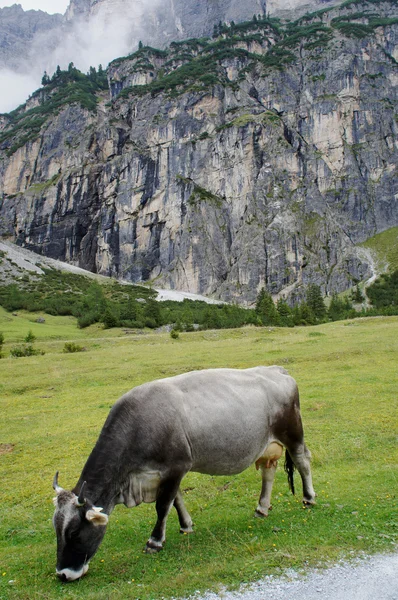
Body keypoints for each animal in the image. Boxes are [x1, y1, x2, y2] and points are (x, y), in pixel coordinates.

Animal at [52, 366, 316, 580]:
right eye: (55, 530)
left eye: (74, 532)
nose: (63, 574)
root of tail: (276, 369)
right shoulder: (165, 473)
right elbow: (176, 500)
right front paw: (186, 525)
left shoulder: (177, 465)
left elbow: (163, 505)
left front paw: (154, 541)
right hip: (267, 446)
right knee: (268, 473)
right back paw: (261, 508)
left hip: (293, 433)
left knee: (303, 460)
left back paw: (309, 498)